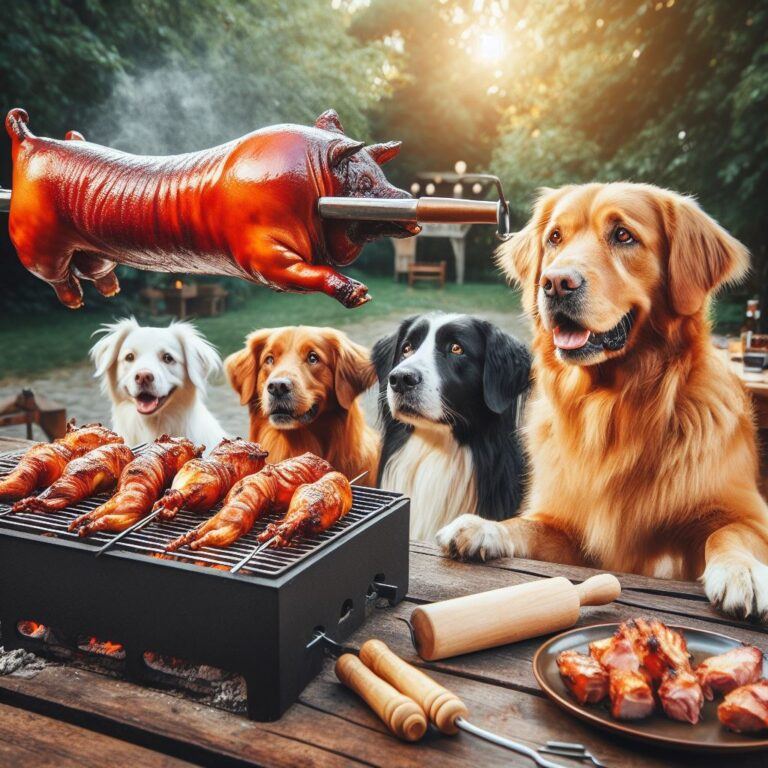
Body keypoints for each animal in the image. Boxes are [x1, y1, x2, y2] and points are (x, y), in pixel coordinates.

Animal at [3, 107, 416, 308]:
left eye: (380, 173)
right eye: (364, 186)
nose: (408, 206)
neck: (316, 184)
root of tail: (27, 142)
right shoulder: (263, 255)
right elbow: (305, 272)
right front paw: (360, 295)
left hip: (95, 248)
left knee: (95, 267)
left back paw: (111, 292)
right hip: (38, 244)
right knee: (55, 273)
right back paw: (74, 302)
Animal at [438, 183, 768, 620]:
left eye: (623, 235)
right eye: (555, 238)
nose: (555, 283)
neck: (610, 405)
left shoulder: (748, 513)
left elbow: (730, 531)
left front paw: (741, 571)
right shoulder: (570, 530)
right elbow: (527, 524)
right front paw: (482, 527)